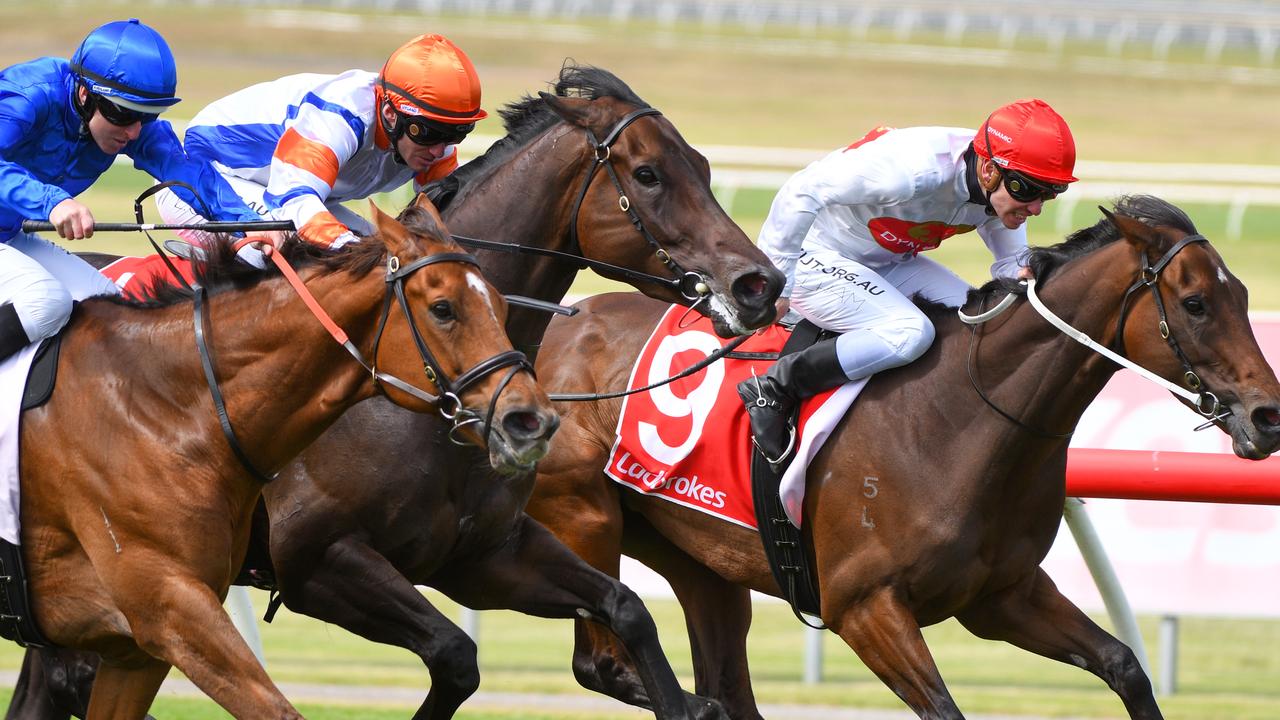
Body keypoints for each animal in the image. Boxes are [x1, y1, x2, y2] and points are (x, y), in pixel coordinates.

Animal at [15, 197, 555, 717]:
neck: (167, 403)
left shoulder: (485, 554)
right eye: (443, 308)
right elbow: (450, 652)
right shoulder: (285, 571)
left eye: (501, 305)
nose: (531, 420)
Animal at [524, 194, 1280, 717]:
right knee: (608, 664)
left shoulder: (1003, 595)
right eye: (1195, 302)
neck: (963, 416)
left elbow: (1125, 665)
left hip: (698, 559)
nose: (1267, 415)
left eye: (1244, 294)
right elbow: (943, 707)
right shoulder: (865, 607)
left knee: (722, 678)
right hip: (585, 516)